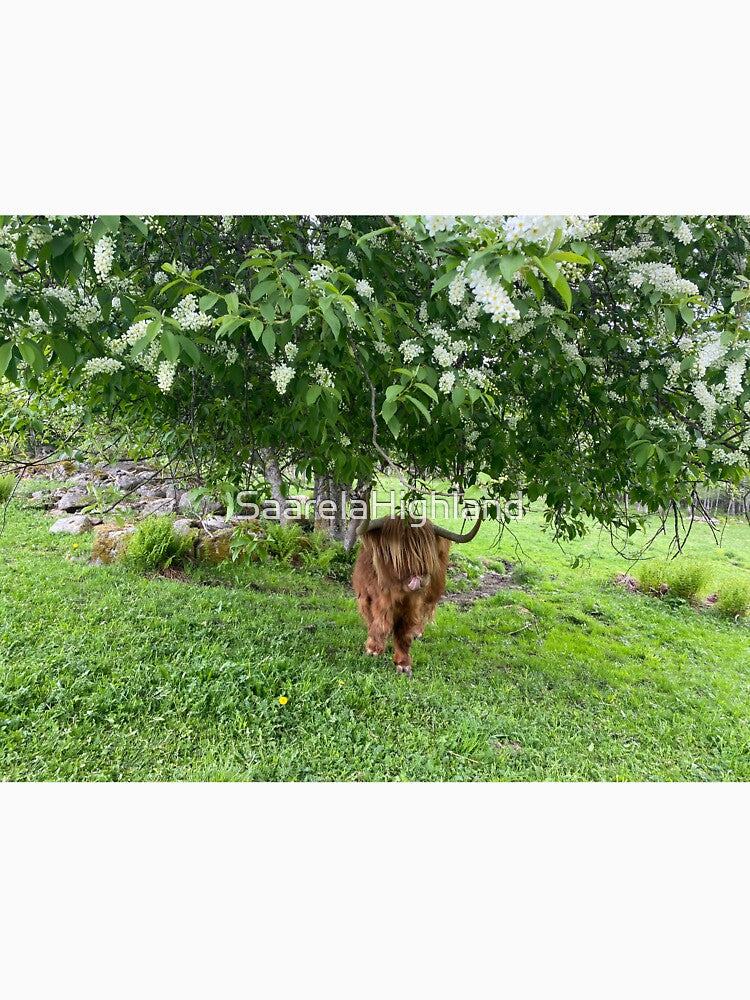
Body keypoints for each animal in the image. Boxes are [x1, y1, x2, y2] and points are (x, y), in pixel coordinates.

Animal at [352, 511, 483, 675]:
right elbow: (377, 623)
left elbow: (404, 633)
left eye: (427, 553)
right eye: (400, 551)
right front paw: (373, 650)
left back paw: (417, 632)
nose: (421, 578)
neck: (392, 591)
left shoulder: (412, 604)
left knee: (425, 609)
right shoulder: (366, 597)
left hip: (433, 590)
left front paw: (403, 664)